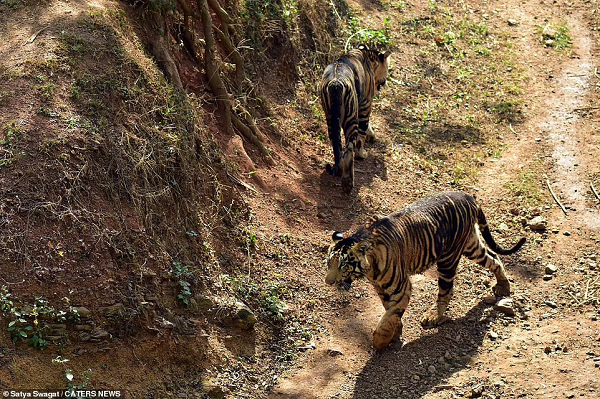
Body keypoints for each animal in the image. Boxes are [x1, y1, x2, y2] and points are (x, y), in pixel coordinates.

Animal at [318, 46, 394, 195]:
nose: (385, 82)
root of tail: (335, 83)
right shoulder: (365, 105)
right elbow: (362, 135)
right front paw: (362, 153)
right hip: (350, 119)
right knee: (349, 149)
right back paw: (348, 183)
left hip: (330, 118)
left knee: (337, 146)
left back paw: (340, 170)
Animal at [324, 192, 524, 352]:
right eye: (328, 263)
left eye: (343, 266)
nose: (328, 282)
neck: (370, 270)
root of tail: (468, 196)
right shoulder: (381, 288)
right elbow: (389, 310)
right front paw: (395, 333)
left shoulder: (401, 287)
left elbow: (390, 315)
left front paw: (380, 342)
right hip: (471, 246)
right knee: (493, 257)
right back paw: (503, 286)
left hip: (448, 260)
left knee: (446, 290)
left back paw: (433, 316)